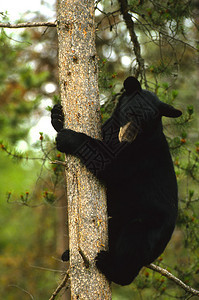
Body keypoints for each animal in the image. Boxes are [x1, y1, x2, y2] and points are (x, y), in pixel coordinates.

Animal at [50, 76, 181, 284]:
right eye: (131, 113)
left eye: (145, 123)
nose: (127, 138)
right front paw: (57, 116)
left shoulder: (140, 155)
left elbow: (109, 164)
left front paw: (68, 137)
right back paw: (68, 253)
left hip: (148, 224)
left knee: (133, 242)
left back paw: (108, 265)